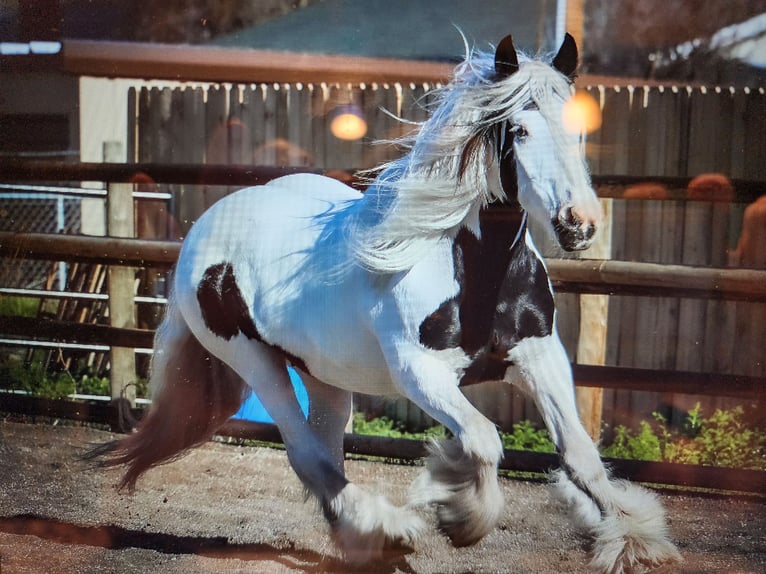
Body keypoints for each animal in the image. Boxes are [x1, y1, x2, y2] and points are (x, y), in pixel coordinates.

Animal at [89, 34, 681, 573]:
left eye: (579, 129)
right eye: (518, 129)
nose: (579, 224)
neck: (475, 272)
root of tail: (204, 227)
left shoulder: (539, 356)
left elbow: (581, 455)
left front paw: (636, 540)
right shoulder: (420, 373)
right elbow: (483, 440)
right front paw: (460, 514)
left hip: (325, 376)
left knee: (325, 453)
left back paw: (365, 542)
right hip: (252, 359)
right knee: (305, 451)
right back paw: (389, 532)